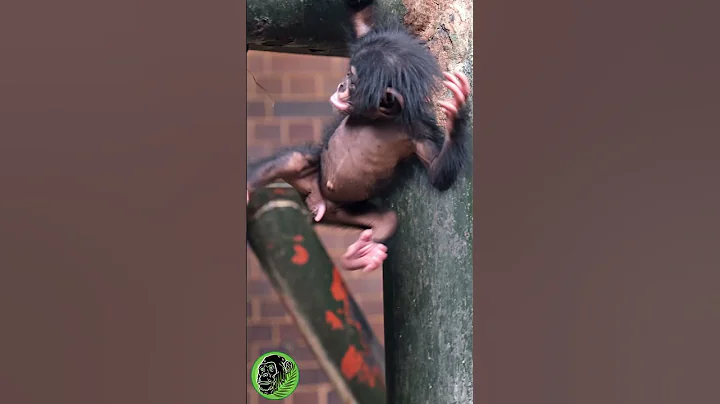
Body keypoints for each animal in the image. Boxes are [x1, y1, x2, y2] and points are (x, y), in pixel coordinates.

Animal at [246, 0, 471, 273]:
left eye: (353, 82)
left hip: (348, 210)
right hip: (313, 180)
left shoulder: (419, 134)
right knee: (293, 160)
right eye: (348, 74)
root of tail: (319, 203)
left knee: (387, 221)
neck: (375, 118)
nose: (341, 85)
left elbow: (437, 173)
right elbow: (361, 22)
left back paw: (362, 255)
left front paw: (456, 116)